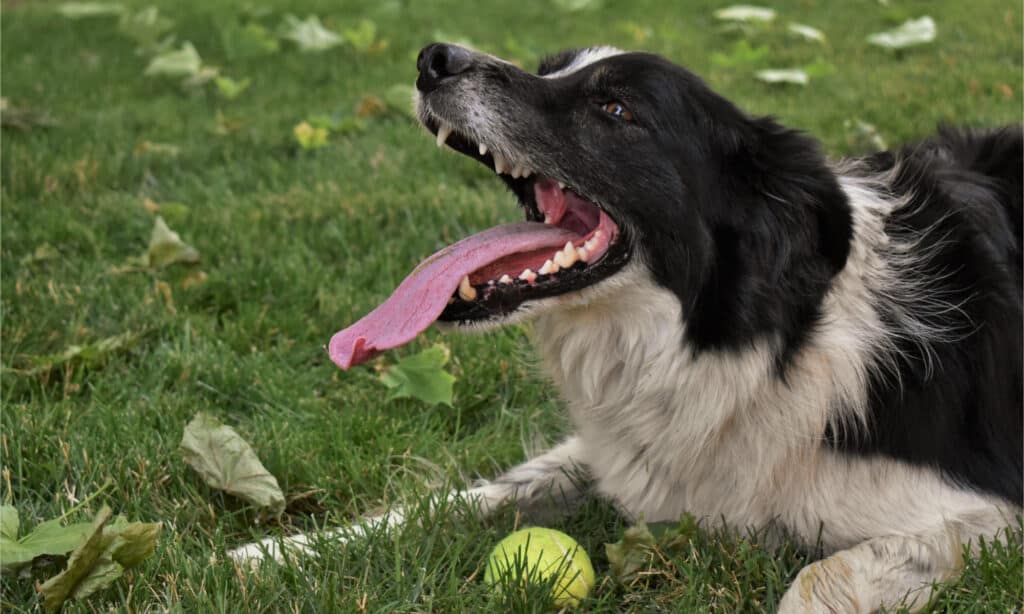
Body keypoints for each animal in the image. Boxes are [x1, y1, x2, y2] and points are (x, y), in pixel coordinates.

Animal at [232, 45, 1024, 609]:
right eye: (550, 69)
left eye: (615, 109)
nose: (433, 58)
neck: (751, 343)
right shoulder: (634, 455)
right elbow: (465, 495)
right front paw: (270, 555)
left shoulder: (989, 514)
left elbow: (818, 580)